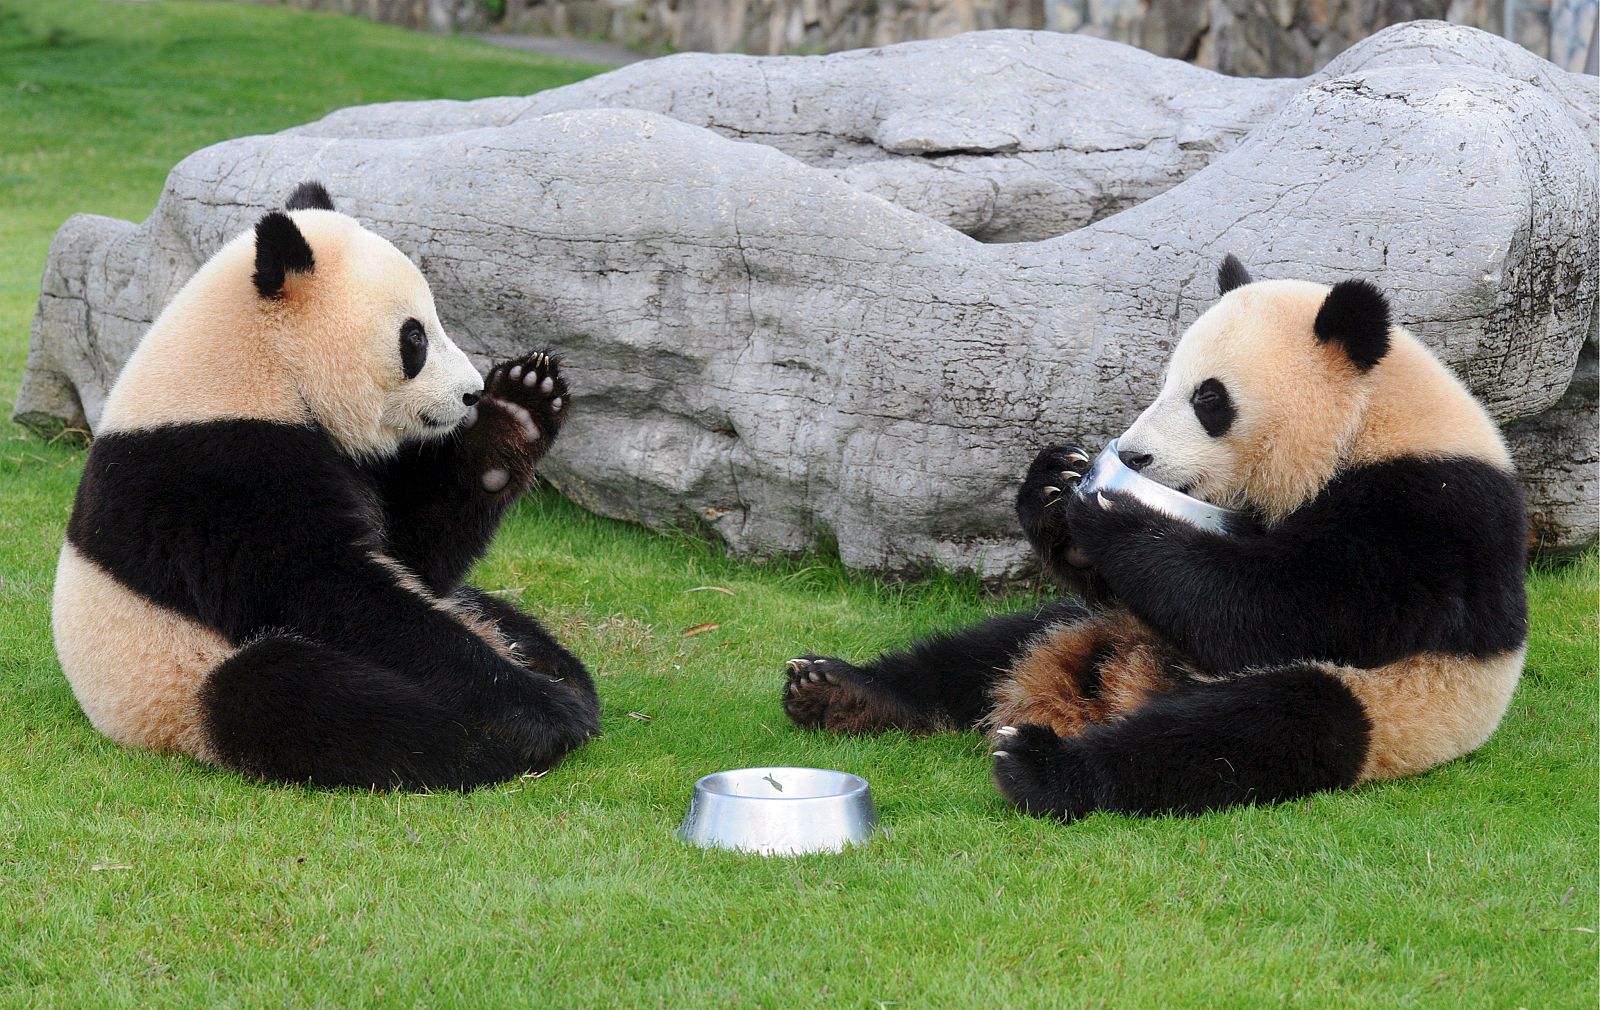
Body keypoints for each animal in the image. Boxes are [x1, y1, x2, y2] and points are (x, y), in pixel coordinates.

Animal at [54, 181, 600, 791]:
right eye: (414, 337)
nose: (469, 393)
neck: (260, 366)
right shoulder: (212, 472)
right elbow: (321, 589)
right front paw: (533, 708)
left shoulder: (344, 460)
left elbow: (413, 553)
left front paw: (517, 411)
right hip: (173, 680)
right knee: (301, 696)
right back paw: (500, 737)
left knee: (495, 618)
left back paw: (559, 674)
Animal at [782, 255, 1528, 818]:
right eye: (1166, 382)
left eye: (1209, 398)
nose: (1135, 456)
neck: (1373, 418)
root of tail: (1112, 685)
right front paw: (1054, 485)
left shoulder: (1428, 517)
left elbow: (1284, 609)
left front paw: (1108, 512)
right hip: (1088, 622)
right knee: (984, 650)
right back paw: (838, 689)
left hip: (1390, 707)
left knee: (1248, 731)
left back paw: (1042, 767)